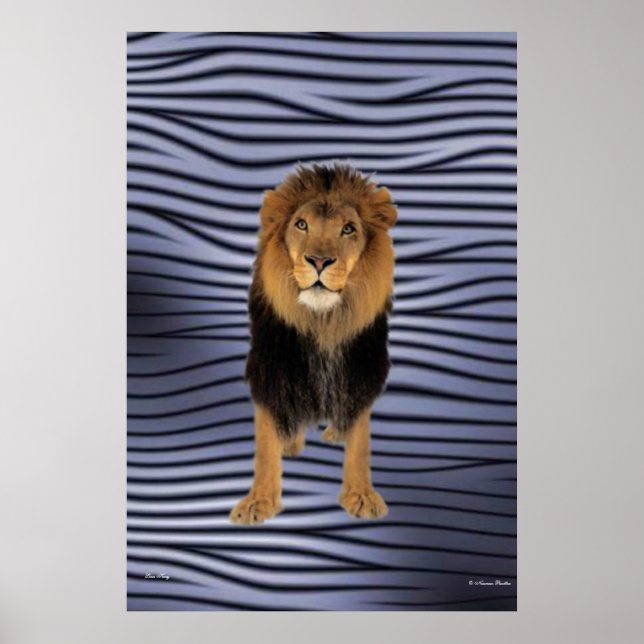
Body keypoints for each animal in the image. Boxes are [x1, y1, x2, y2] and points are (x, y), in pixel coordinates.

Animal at [230, 162, 397, 525]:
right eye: (301, 225)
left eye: (348, 229)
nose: (319, 261)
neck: (323, 321)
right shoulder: (272, 368)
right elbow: (266, 440)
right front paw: (258, 501)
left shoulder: (360, 366)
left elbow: (360, 437)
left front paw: (361, 495)